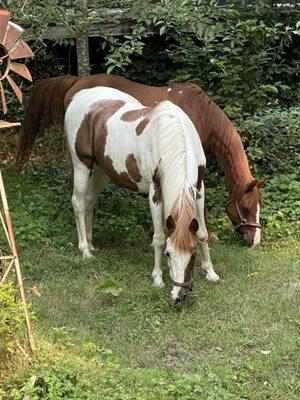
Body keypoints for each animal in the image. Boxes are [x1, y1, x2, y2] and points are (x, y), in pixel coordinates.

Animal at [65, 86, 219, 304]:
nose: (178, 296)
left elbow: (203, 233)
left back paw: (91, 244)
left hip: (100, 170)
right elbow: (159, 237)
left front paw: (210, 272)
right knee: (78, 203)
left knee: (89, 202)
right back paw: (85, 250)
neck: (174, 137)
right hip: (82, 165)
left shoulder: (199, 189)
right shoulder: (156, 194)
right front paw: (158, 278)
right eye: (168, 254)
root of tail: (79, 95)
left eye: (193, 253)